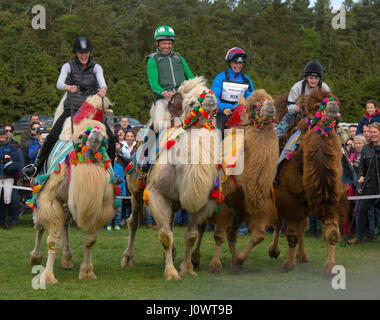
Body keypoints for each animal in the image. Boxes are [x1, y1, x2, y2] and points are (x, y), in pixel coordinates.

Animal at [28, 94, 116, 284]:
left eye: (104, 133)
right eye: (83, 134)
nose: (96, 134)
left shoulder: (100, 206)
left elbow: (90, 240)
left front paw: (87, 272)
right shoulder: (49, 198)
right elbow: (53, 238)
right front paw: (47, 276)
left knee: (65, 224)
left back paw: (67, 259)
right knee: (40, 226)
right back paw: (36, 257)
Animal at [193, 89, 280, 272]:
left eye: (271, 100)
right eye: (254, 106)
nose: (270, 106)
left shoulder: (255, 203)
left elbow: (259, 235)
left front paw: (238, 260)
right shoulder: (222, 200)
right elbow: (218, 235)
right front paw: (215, 265)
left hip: (238, 211)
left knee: (231, 233)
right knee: (202, 226)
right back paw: (195, 259)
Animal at [268, 89, 348, 276]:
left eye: (337, 103)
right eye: (317, 107)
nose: (333, 108)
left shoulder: (333, 196)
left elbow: (331, 232)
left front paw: (330, 266)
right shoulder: (288, 196)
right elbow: (290, 233)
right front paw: (288, 264)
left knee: (302, 225)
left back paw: (302, 256)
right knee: (280, 222)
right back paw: (274, 251)